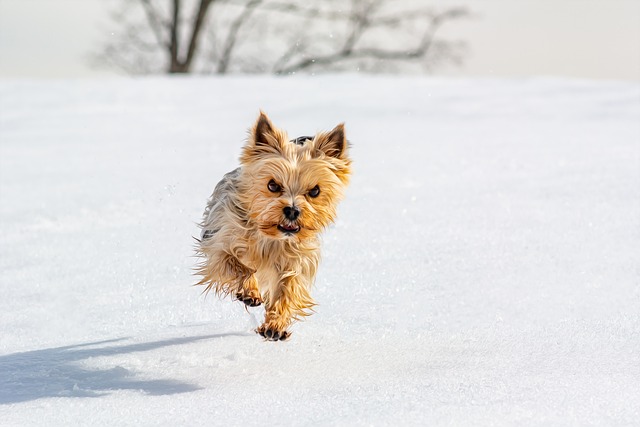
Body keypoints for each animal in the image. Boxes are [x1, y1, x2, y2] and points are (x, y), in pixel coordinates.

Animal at [196, 110, 352, 342]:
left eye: (315, 191)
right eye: (272, 185)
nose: (292, 210)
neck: (272, 237)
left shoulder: (297, 261)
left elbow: (289, 289)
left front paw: (275, 325)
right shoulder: (219, 246)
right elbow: (237, 265)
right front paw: (249, 291)